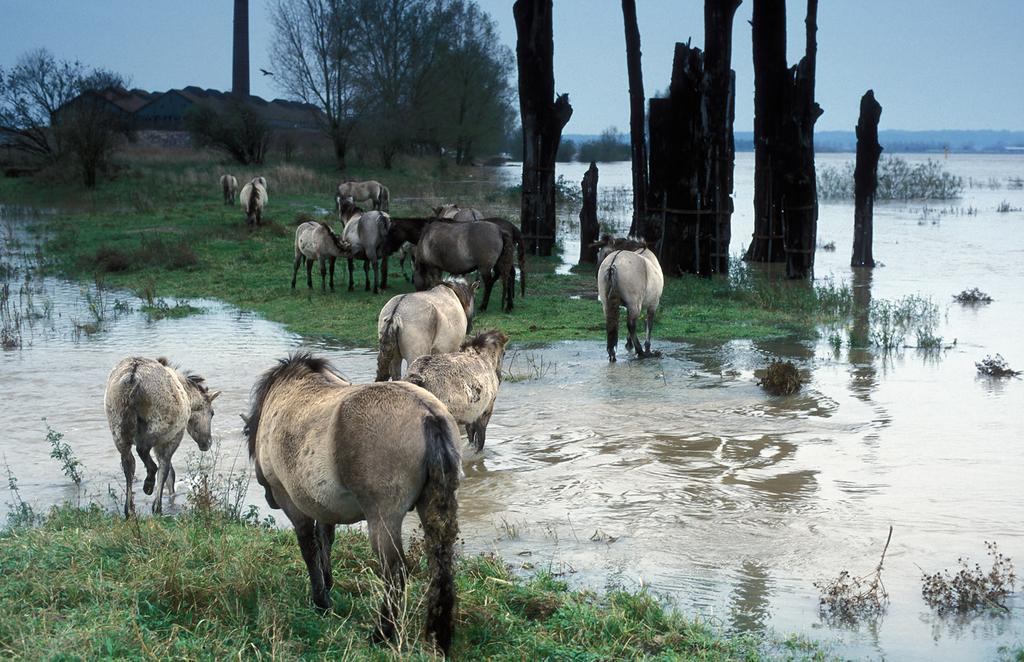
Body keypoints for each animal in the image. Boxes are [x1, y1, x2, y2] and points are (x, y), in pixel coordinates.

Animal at [103, 358, 220, 518]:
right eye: (212, 413)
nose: (207, 443)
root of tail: (133, 378)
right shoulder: (171, 438)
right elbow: (166, 470)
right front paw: (157, 506)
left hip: (119, 434)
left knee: (129, 465)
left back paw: (129, 510)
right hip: (158, 428)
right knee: (144, 453)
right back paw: (148, 486)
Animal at [241, 354, 458, 655]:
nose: (269, 501)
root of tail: (427, 414)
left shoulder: (293, 503)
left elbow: (309, 548)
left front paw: (321, 601)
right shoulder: (322, 505)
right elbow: (325, 541)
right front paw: (328, 585)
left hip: (383, 518)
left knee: (395, 573)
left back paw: (382, 633)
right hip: (432, 510)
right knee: (441, 566)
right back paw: (438, 637)